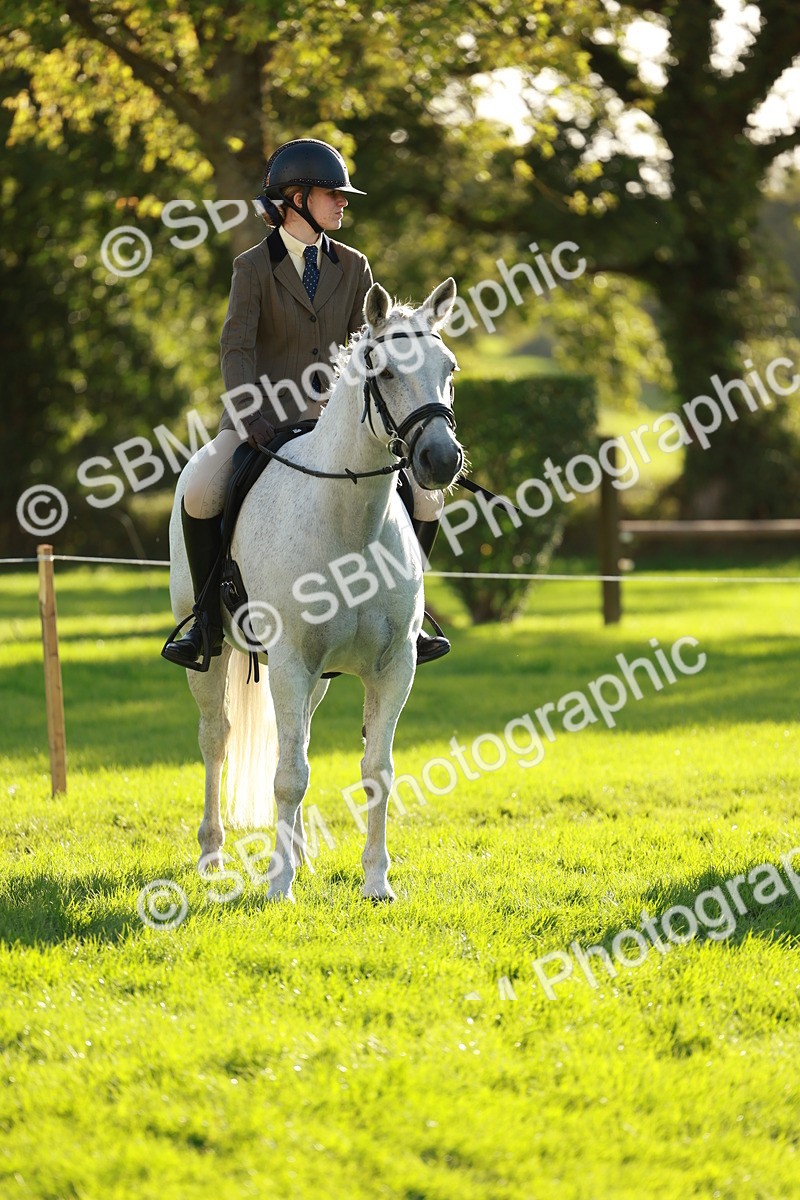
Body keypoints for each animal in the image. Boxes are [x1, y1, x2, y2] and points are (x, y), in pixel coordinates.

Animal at [167, 277, 464, 901]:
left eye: (448, 368)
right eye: (385, 371)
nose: (441, 460)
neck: (351, 524)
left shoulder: (393, 666)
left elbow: (377, 771)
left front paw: (376, 881)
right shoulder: (288, 661)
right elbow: (288, 776)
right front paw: (278, 887)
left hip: (316, 676)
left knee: (295, 735)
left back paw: (300, 854)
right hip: (214, 656)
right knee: (216, 739)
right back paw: (212, 857)